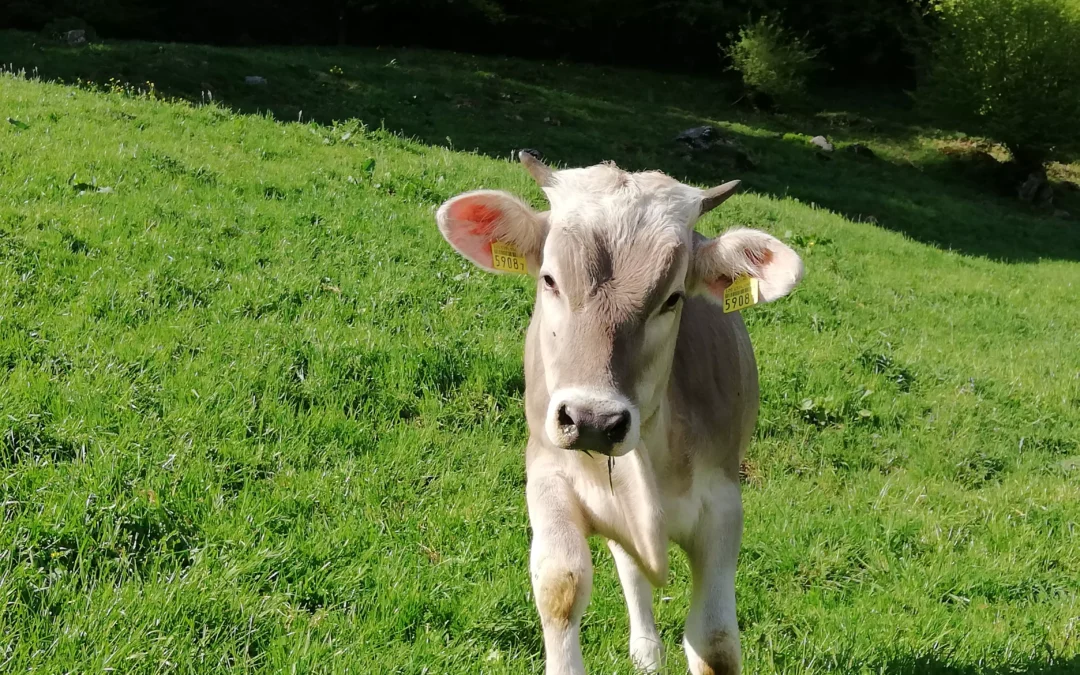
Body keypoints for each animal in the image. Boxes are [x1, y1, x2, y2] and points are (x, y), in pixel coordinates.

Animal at [436, 154, 803, 673]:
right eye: (549, 279)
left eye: (673, 298)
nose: (592, 419)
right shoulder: (547, 471)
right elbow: (562, 586)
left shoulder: (723, 504)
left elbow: (713, 642)